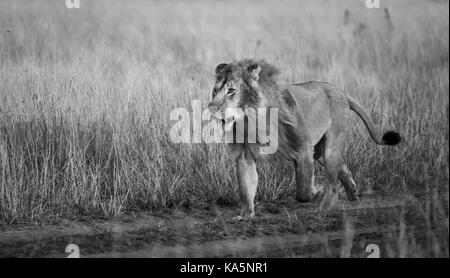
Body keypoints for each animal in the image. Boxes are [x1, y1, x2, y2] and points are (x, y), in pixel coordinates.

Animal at [207, 59, 400, 218]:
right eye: (215, 91)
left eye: (231, 90)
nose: (211, 108)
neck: (252, 119)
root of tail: (339, 90)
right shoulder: (245, 155)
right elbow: (246, 187)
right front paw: (245, 216)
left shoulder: (303, 149)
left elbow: (303, 192)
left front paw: (316, 190)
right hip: (320, 151)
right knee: (343, 168)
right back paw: (353, 193)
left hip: (330, 146)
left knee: (333, 183)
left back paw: (325, 207)